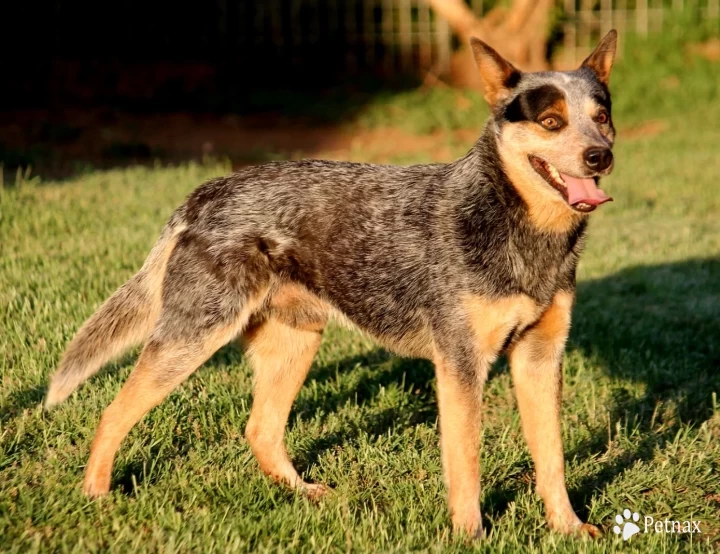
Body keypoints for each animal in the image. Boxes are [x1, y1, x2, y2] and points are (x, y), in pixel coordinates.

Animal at [45, 29, 620, 536]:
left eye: (602, 118)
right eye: (551, 121)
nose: (601, 156)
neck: (519, 228)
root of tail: (206, 191)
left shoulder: (540, 357)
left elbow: (553, 459)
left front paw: (568, 528)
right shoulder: (461, 364)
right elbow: (467, 465)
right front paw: (470, 536)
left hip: (296, 343)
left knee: (261, 430)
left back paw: (305, 494)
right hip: (191, 339)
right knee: (112, 411)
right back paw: (95, 496)